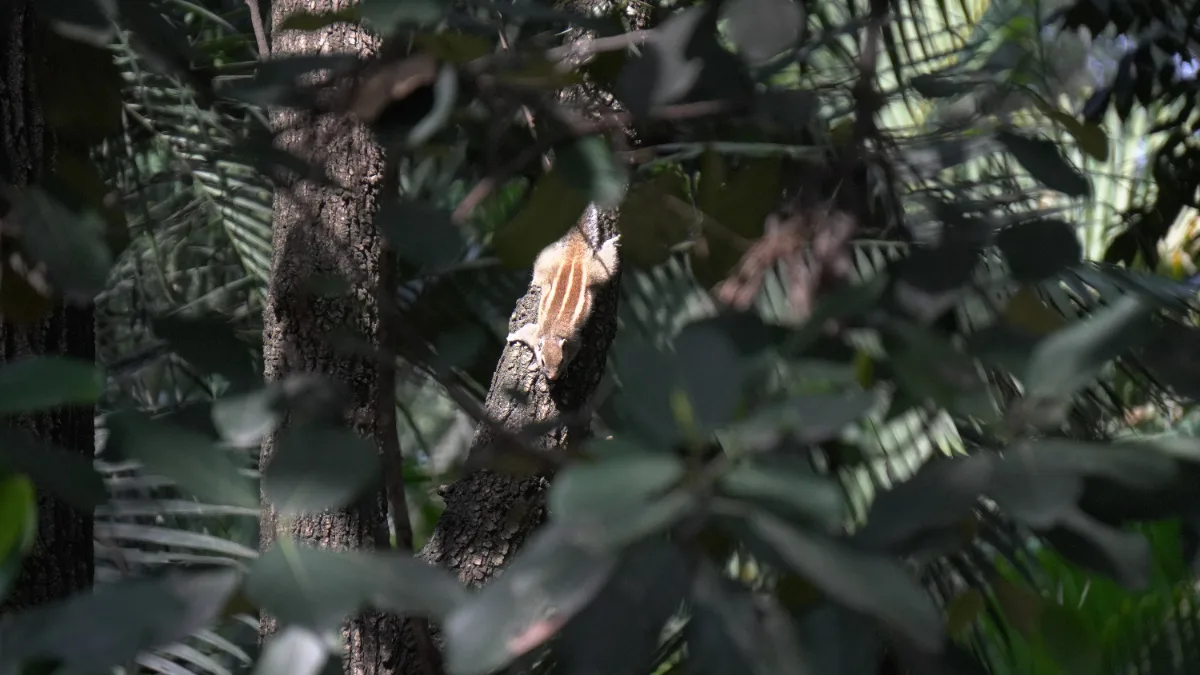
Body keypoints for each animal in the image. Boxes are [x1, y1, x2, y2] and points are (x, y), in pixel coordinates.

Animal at [506, 220, 621, 381]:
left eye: (561, 361)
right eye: (543, 361)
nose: (553, 377)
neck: (553, 336)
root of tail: (573, 258)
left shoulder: (573, 344)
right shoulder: (535, 336)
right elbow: (525, 330)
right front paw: (512, 336)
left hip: (596, 272)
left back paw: (612, 243)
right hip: (551, 267)